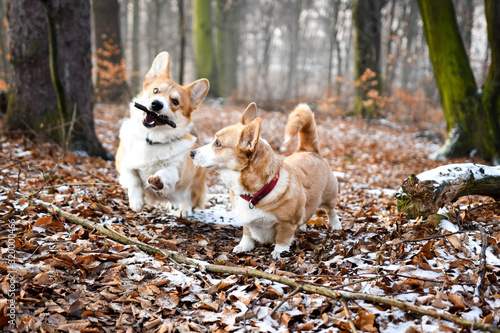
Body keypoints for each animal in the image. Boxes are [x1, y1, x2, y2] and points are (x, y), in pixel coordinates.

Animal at [115, 52, 209, 217]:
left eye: (175, 101)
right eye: (155, 90)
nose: (156, 104)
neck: (152, 139)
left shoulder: (177, 171)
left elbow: (166, 173)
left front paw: (157, 180)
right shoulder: (123, 163)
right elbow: (132, 179)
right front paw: (136, 202)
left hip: (195, 179)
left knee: (188, 197)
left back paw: (184, 209)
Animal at [190, 103, 340, 256]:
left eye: (217, 143)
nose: (191, 153)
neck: (257, 192)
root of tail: (309, 151)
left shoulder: (286, 223)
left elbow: (282, 239)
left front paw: (279, 252)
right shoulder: (246, 222)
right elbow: (247, 233)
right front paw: (244, 246)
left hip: (329, 197)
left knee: (331, 211)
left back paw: (336, 226)